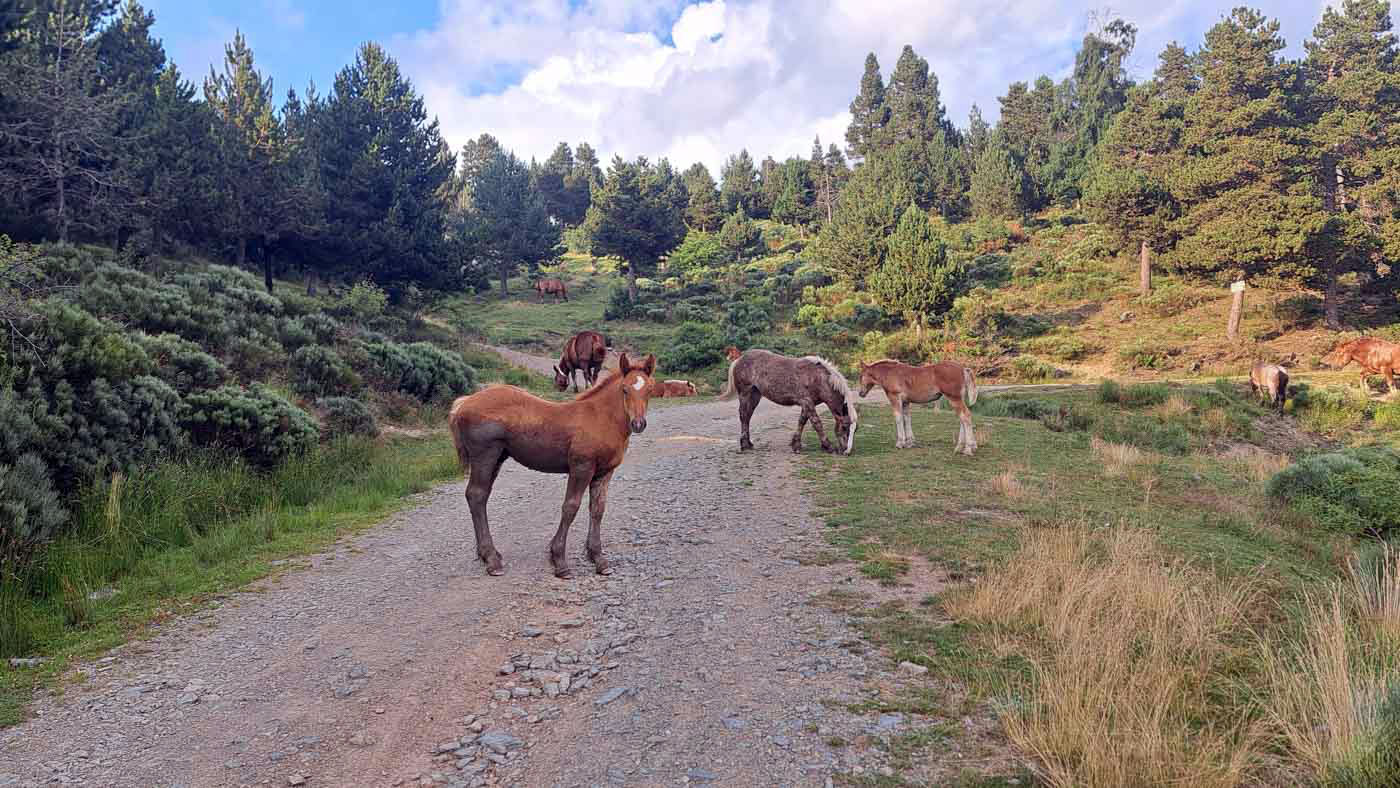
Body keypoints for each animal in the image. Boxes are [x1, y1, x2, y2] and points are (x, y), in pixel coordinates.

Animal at [448, 353, 658, 578]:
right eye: (625, 389)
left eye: (650, 389)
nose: (638, 424)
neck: (601, 418)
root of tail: (464, 402)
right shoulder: (581, 468)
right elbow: (570, 507)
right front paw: (559, 561)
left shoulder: (604, 473)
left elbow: (597, 509)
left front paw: (598, 559)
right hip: (485, 456)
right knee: (476, 495)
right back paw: (491, 560)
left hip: (497, 458)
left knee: (480, 496)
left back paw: (489, 554)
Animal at [724, 349, 858, 455]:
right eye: (845, 427)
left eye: (855, 430)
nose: (846, 451)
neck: (818, 378)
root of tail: (739, 359)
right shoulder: (807, 402)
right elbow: (817, 423)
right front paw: (828, 446)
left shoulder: (807, 404)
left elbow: (802, 422)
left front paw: (796, 445)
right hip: (745, 394)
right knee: (743, 415)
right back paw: (744, 445)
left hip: (755, 395)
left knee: (747, 416)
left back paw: (749, 443)